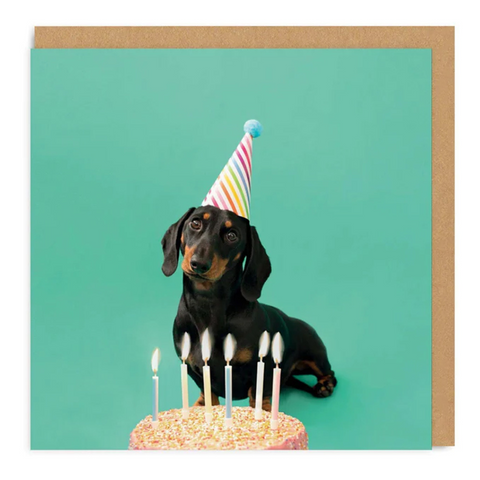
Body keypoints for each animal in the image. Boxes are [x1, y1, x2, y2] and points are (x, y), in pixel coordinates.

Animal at [162, 204, 338, 410]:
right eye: (195, 223)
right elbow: (208, 393)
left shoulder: (264, 366)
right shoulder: (193, 368)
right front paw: (202, 405)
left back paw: (324, 385)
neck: (208, 304)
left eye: (232, 235)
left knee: (330, 373)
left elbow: (258, 394)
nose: (199, 264)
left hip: (316, 356)